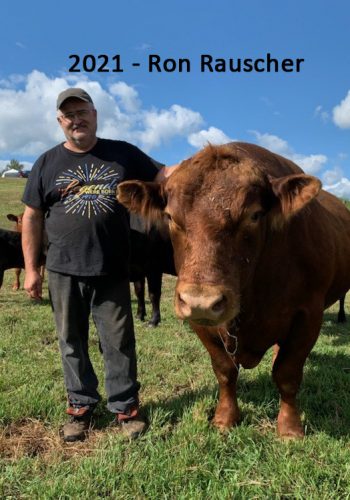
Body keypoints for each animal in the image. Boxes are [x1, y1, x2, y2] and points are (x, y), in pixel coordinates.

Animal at [117, 142, 350, 438]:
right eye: (169, 216)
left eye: (254, 215)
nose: (202, 301)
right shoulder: (201, 323)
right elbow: (225, 371)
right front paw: (225, 419)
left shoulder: (308, 315)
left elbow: (287, 374)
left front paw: (289, 428)